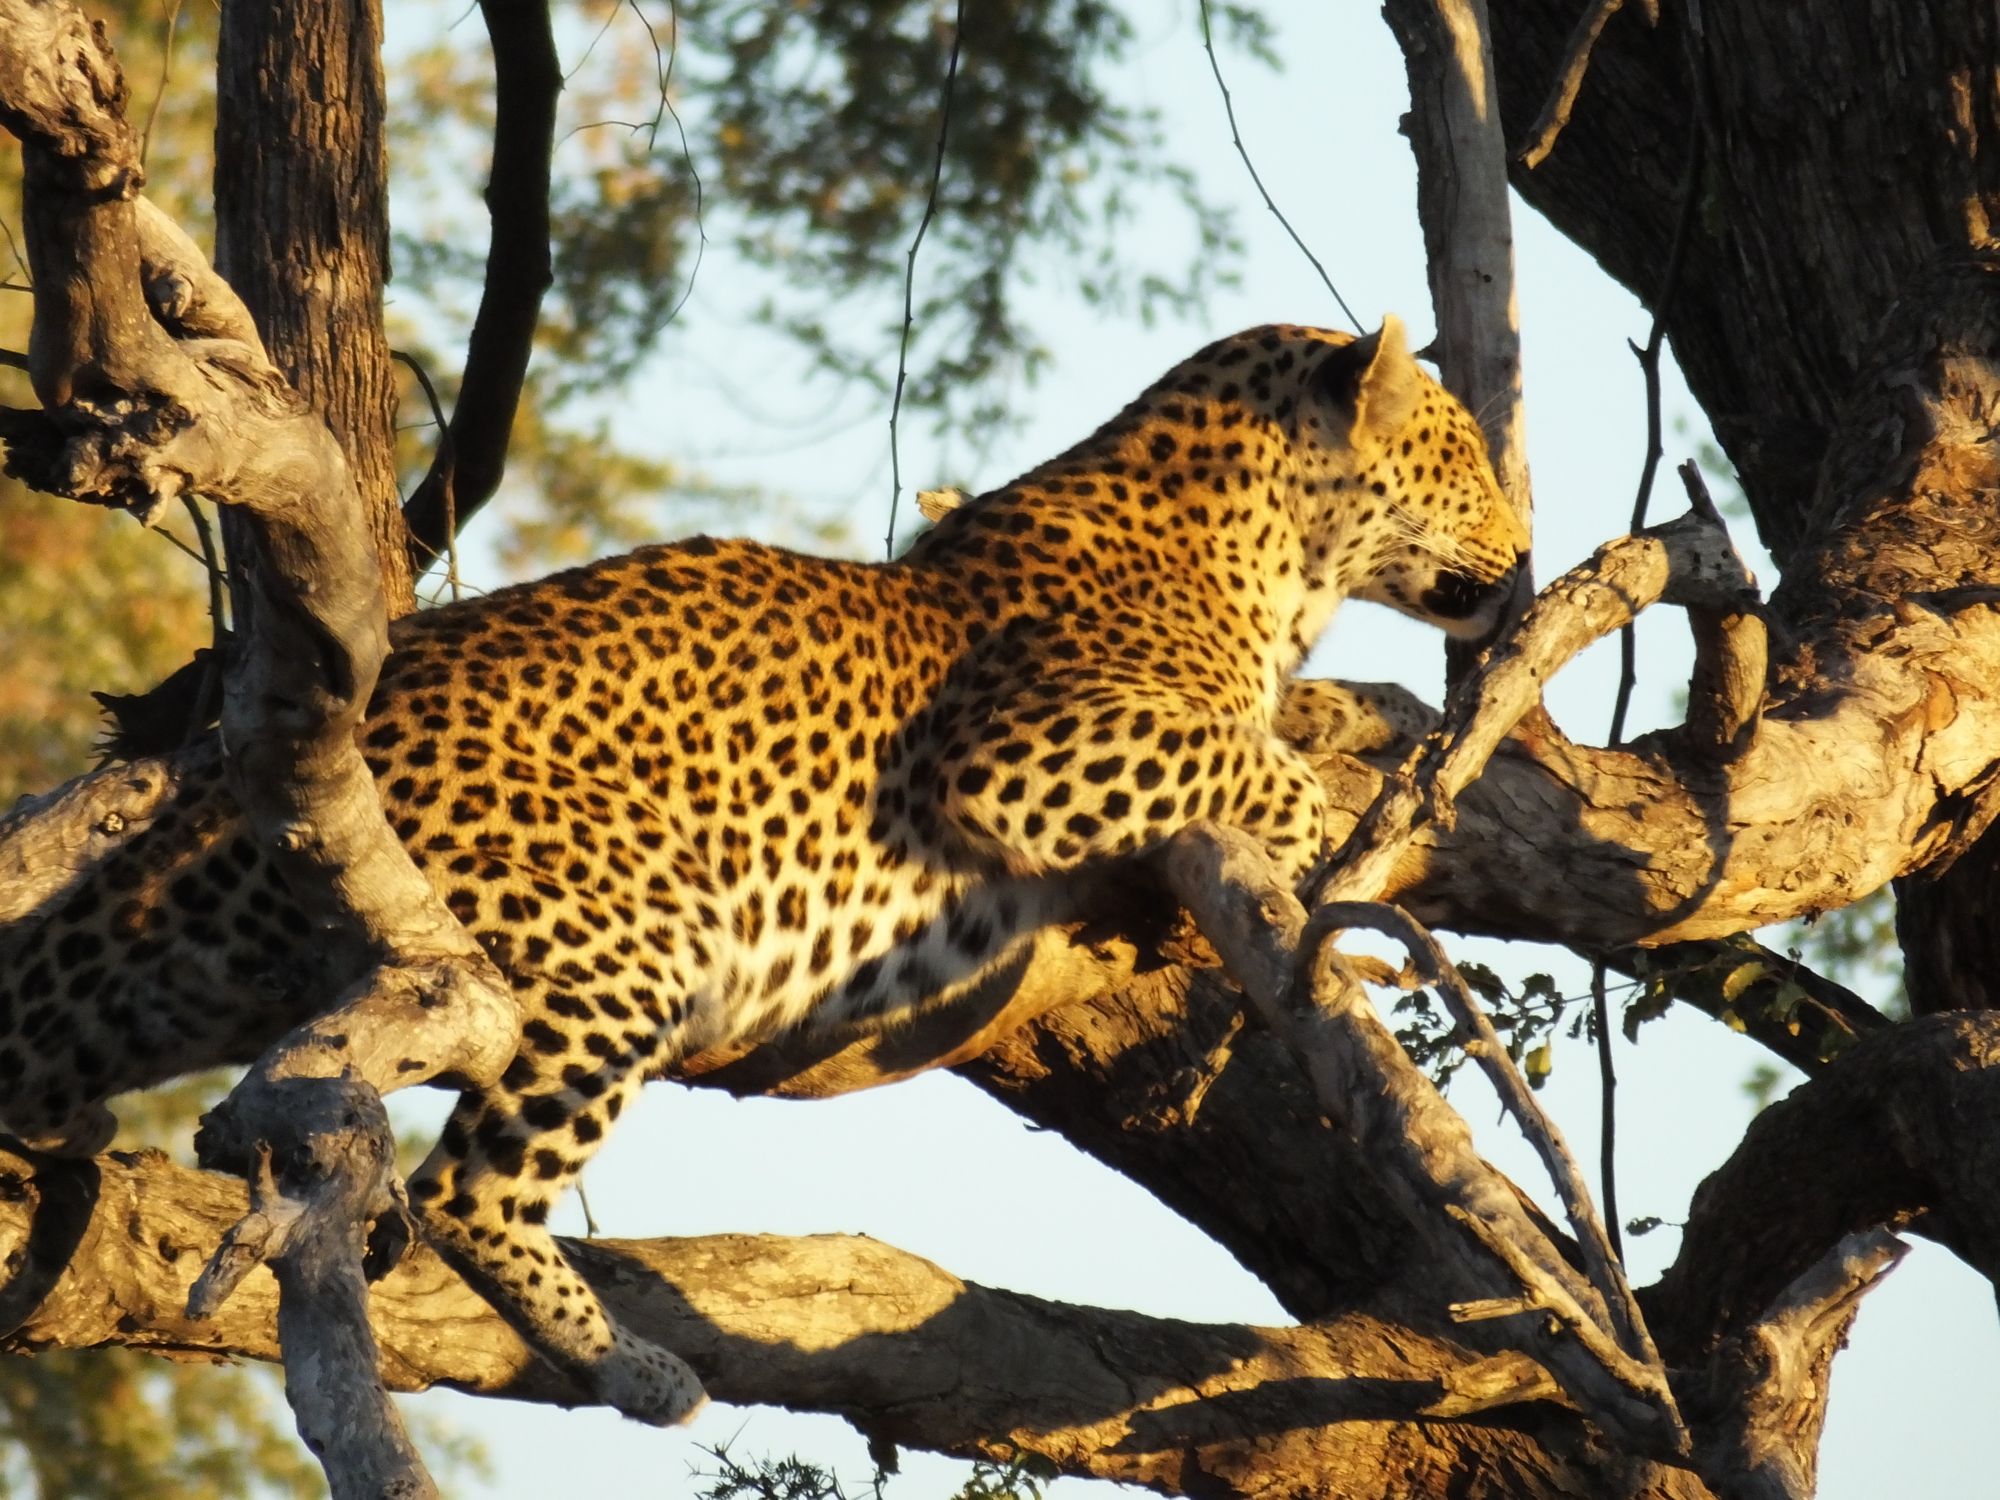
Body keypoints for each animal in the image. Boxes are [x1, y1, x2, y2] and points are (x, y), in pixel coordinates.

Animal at [0, 315, 1528, 1425]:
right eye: (1459, 449)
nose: (1520, 559)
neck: (1273, 558)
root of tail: (225, 786)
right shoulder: (1020, 746)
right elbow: (1238, 759)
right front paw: (1329, 813)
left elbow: (1302, 723)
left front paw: (1366, 727)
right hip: (622, 933)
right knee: (467, 1192)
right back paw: (635, 1369)